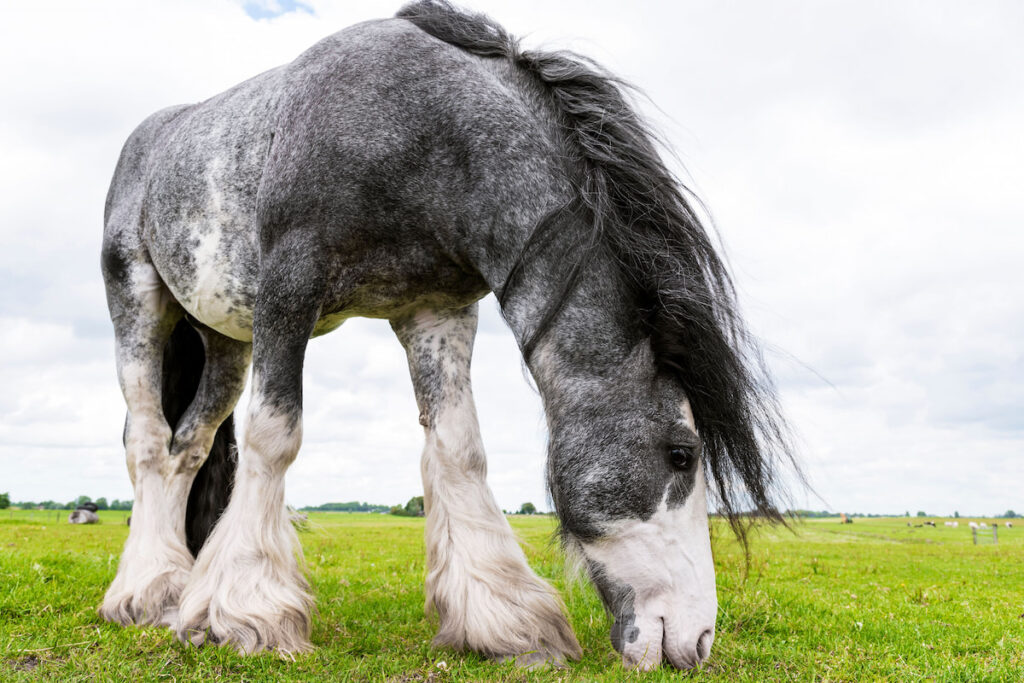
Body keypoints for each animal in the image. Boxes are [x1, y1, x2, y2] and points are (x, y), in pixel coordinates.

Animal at [99, 0, 790, 671]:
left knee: (187, 447)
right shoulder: (289, 285)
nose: (699, 638)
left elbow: (460, 450)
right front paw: (246, 612)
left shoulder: (437, 312)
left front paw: (506, 620)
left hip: (226, 342)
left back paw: (170, 586)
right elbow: (274, 434)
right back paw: (146, 592)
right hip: (136, 303)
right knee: (148, 441)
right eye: (683, 455)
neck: (428, 131)